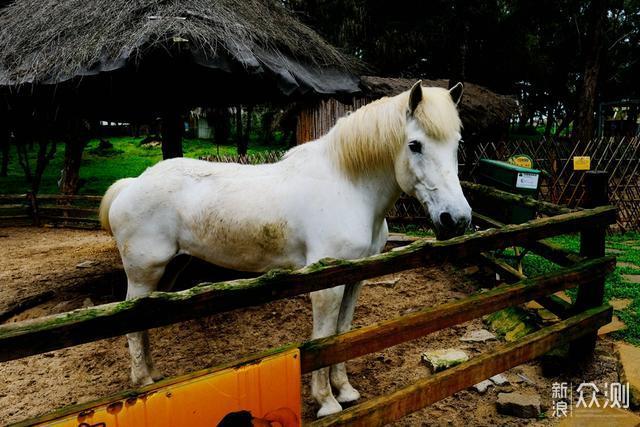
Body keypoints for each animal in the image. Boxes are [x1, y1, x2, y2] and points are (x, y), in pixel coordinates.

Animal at [100, 80, 470, 418]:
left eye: (457, 144)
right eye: (415, 145)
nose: (457, 219)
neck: (348, 187)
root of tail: (131, 185)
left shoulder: (355, 279)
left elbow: (343, 334)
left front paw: (345, 390)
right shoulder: (326, 286)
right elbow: (323, 339)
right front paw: (327, 402)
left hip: (167, 273)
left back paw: (153, 377)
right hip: (143, 274)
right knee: (131, 326)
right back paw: (143, 383)